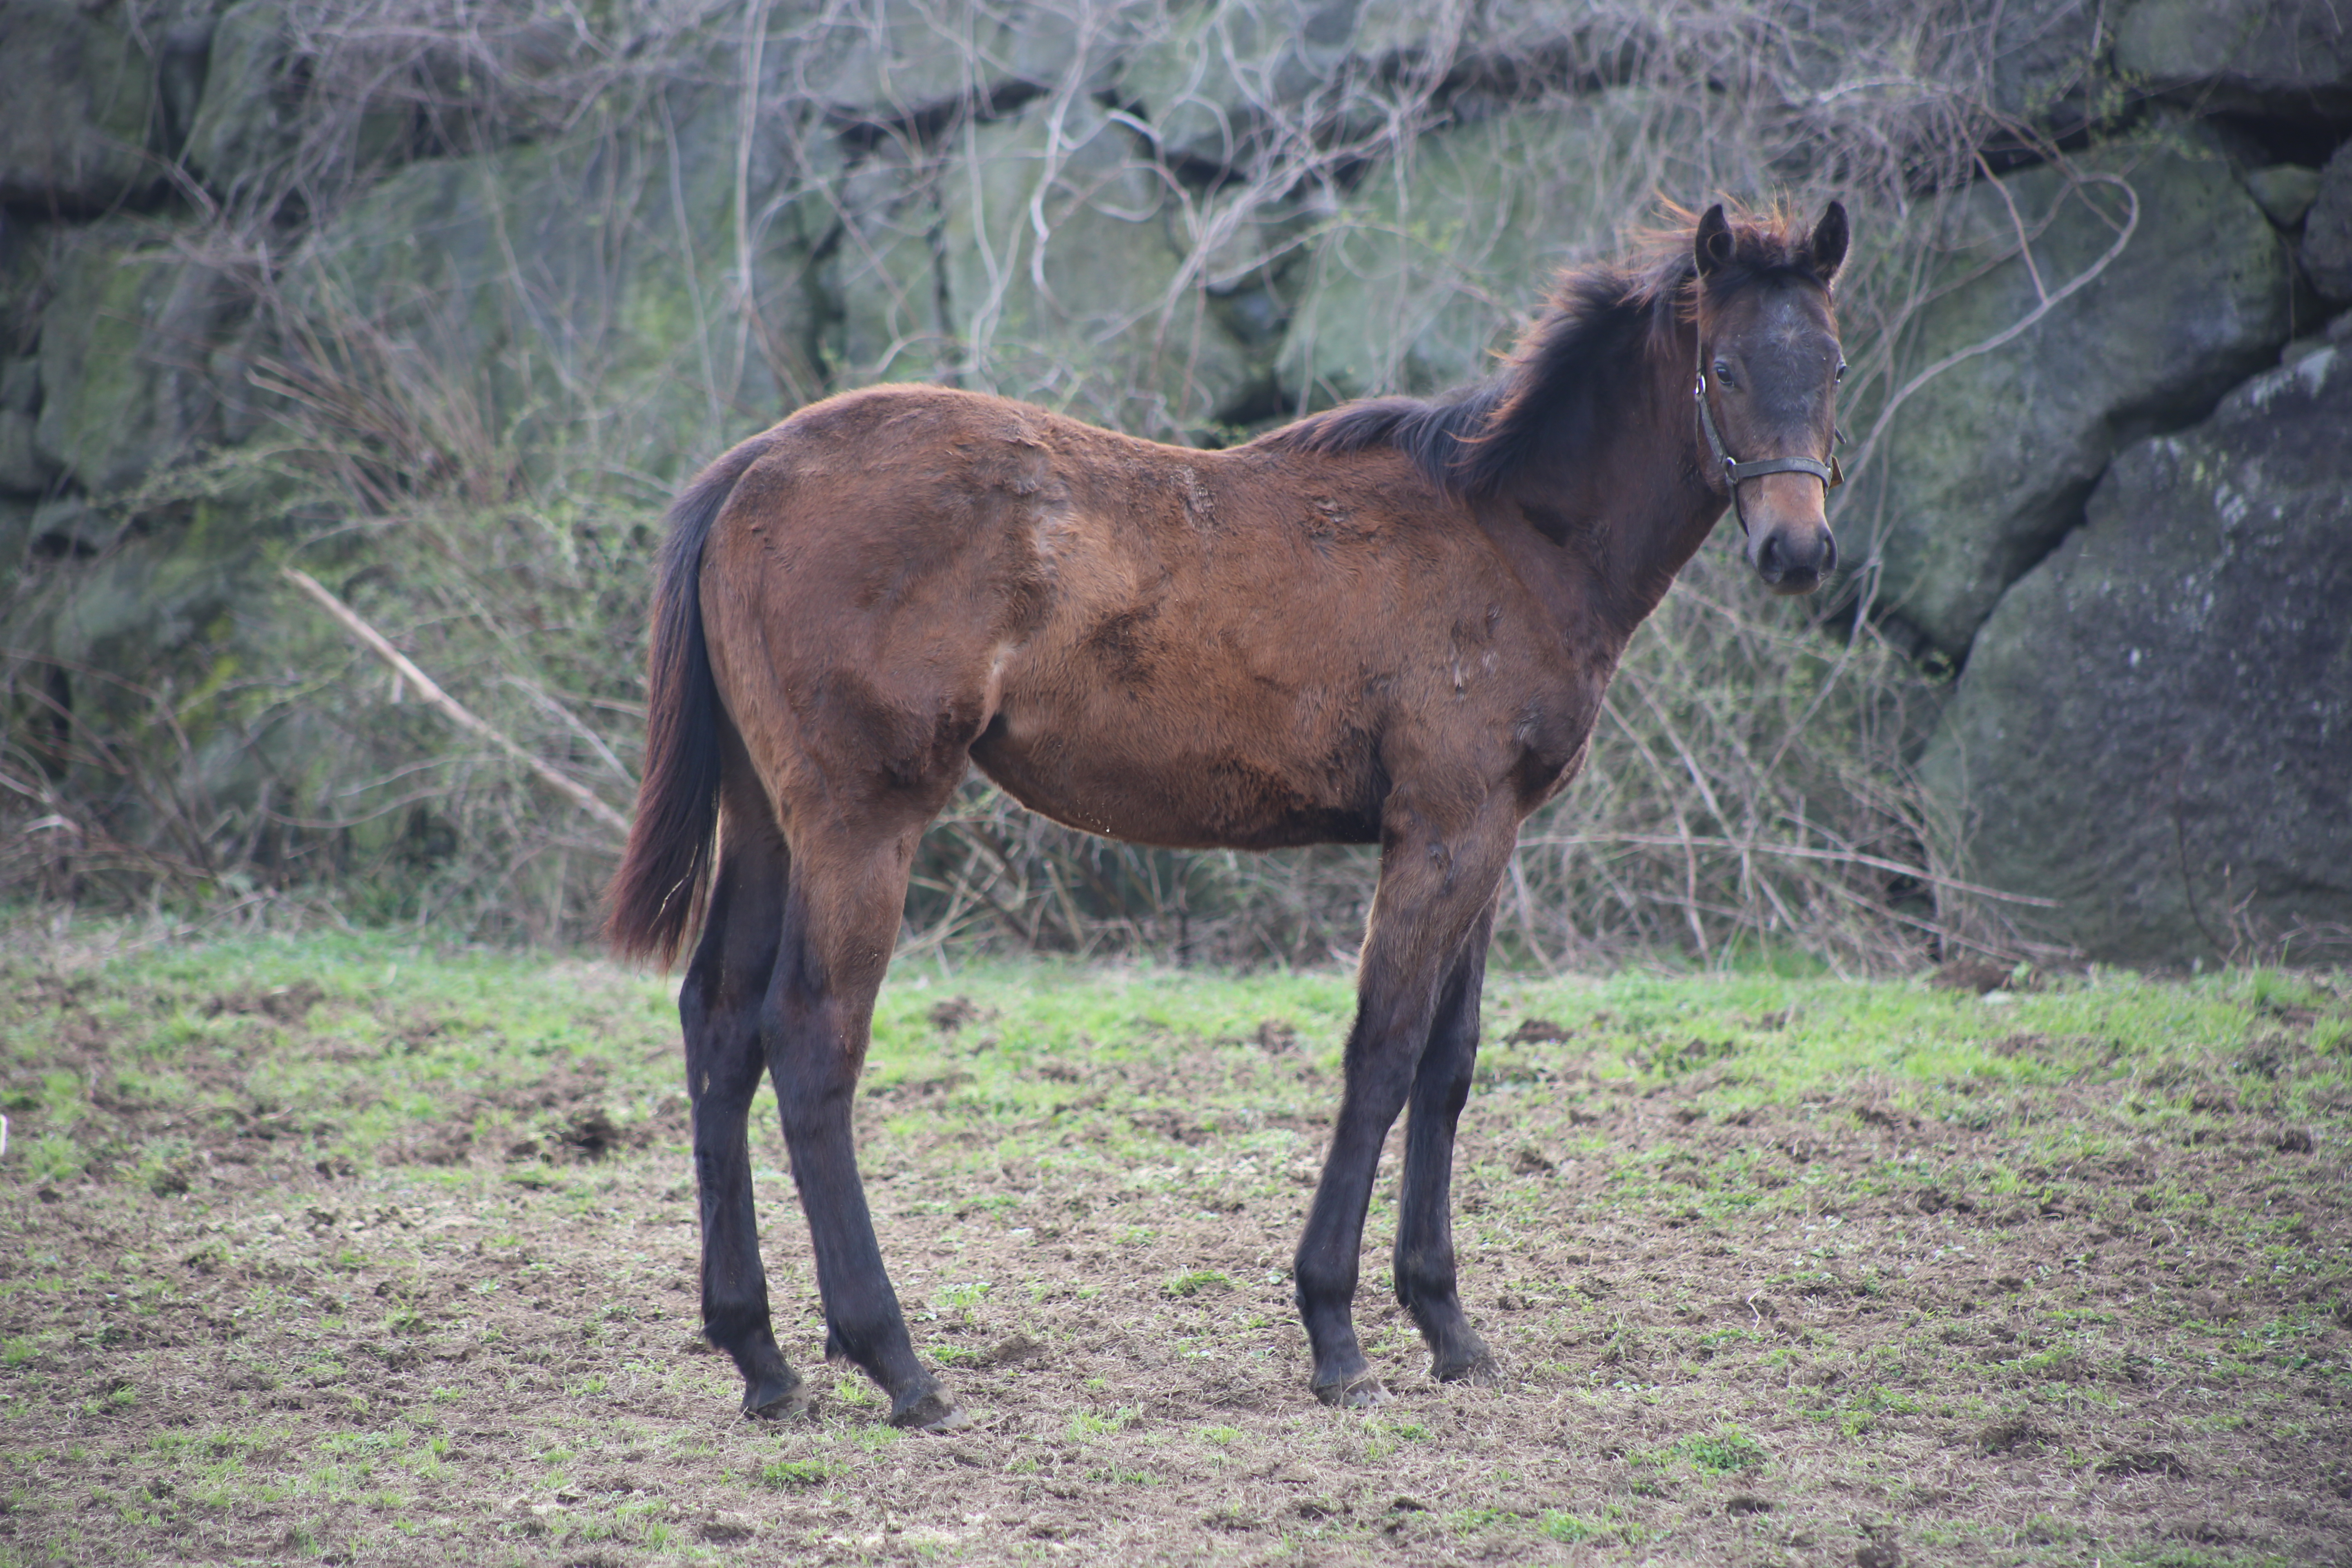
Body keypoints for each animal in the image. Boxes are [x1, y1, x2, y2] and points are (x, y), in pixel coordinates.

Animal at [602, 202, 1834, 1429]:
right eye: (1723, 368)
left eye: (1829, 362)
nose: (1798, 551)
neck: (1511, 533)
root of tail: (753, 467)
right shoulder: (1444, 831)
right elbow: (1383, 1053)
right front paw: (1337, 1332)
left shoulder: (1492, 836)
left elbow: (1448, 1065)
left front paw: (1447, 1325)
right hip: (859, 824)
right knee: (810, 1038)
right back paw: (897, 1362)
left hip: (768, 820)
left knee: (719, 1024)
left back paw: (761, 1357)